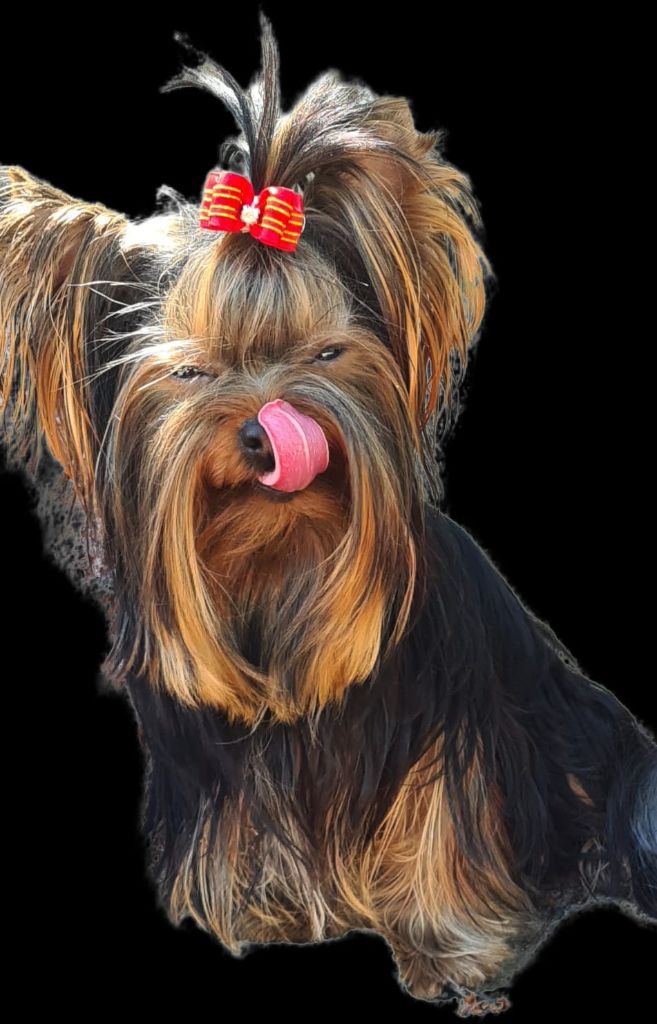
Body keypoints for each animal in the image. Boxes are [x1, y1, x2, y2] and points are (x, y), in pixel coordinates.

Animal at [1, 14, 655, 1017]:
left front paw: (450, 958)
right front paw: (264, 913)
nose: (267, 431)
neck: (279, 567)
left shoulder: (455, 726)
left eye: (325, 353)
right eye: (190, 371)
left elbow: (439, 826)